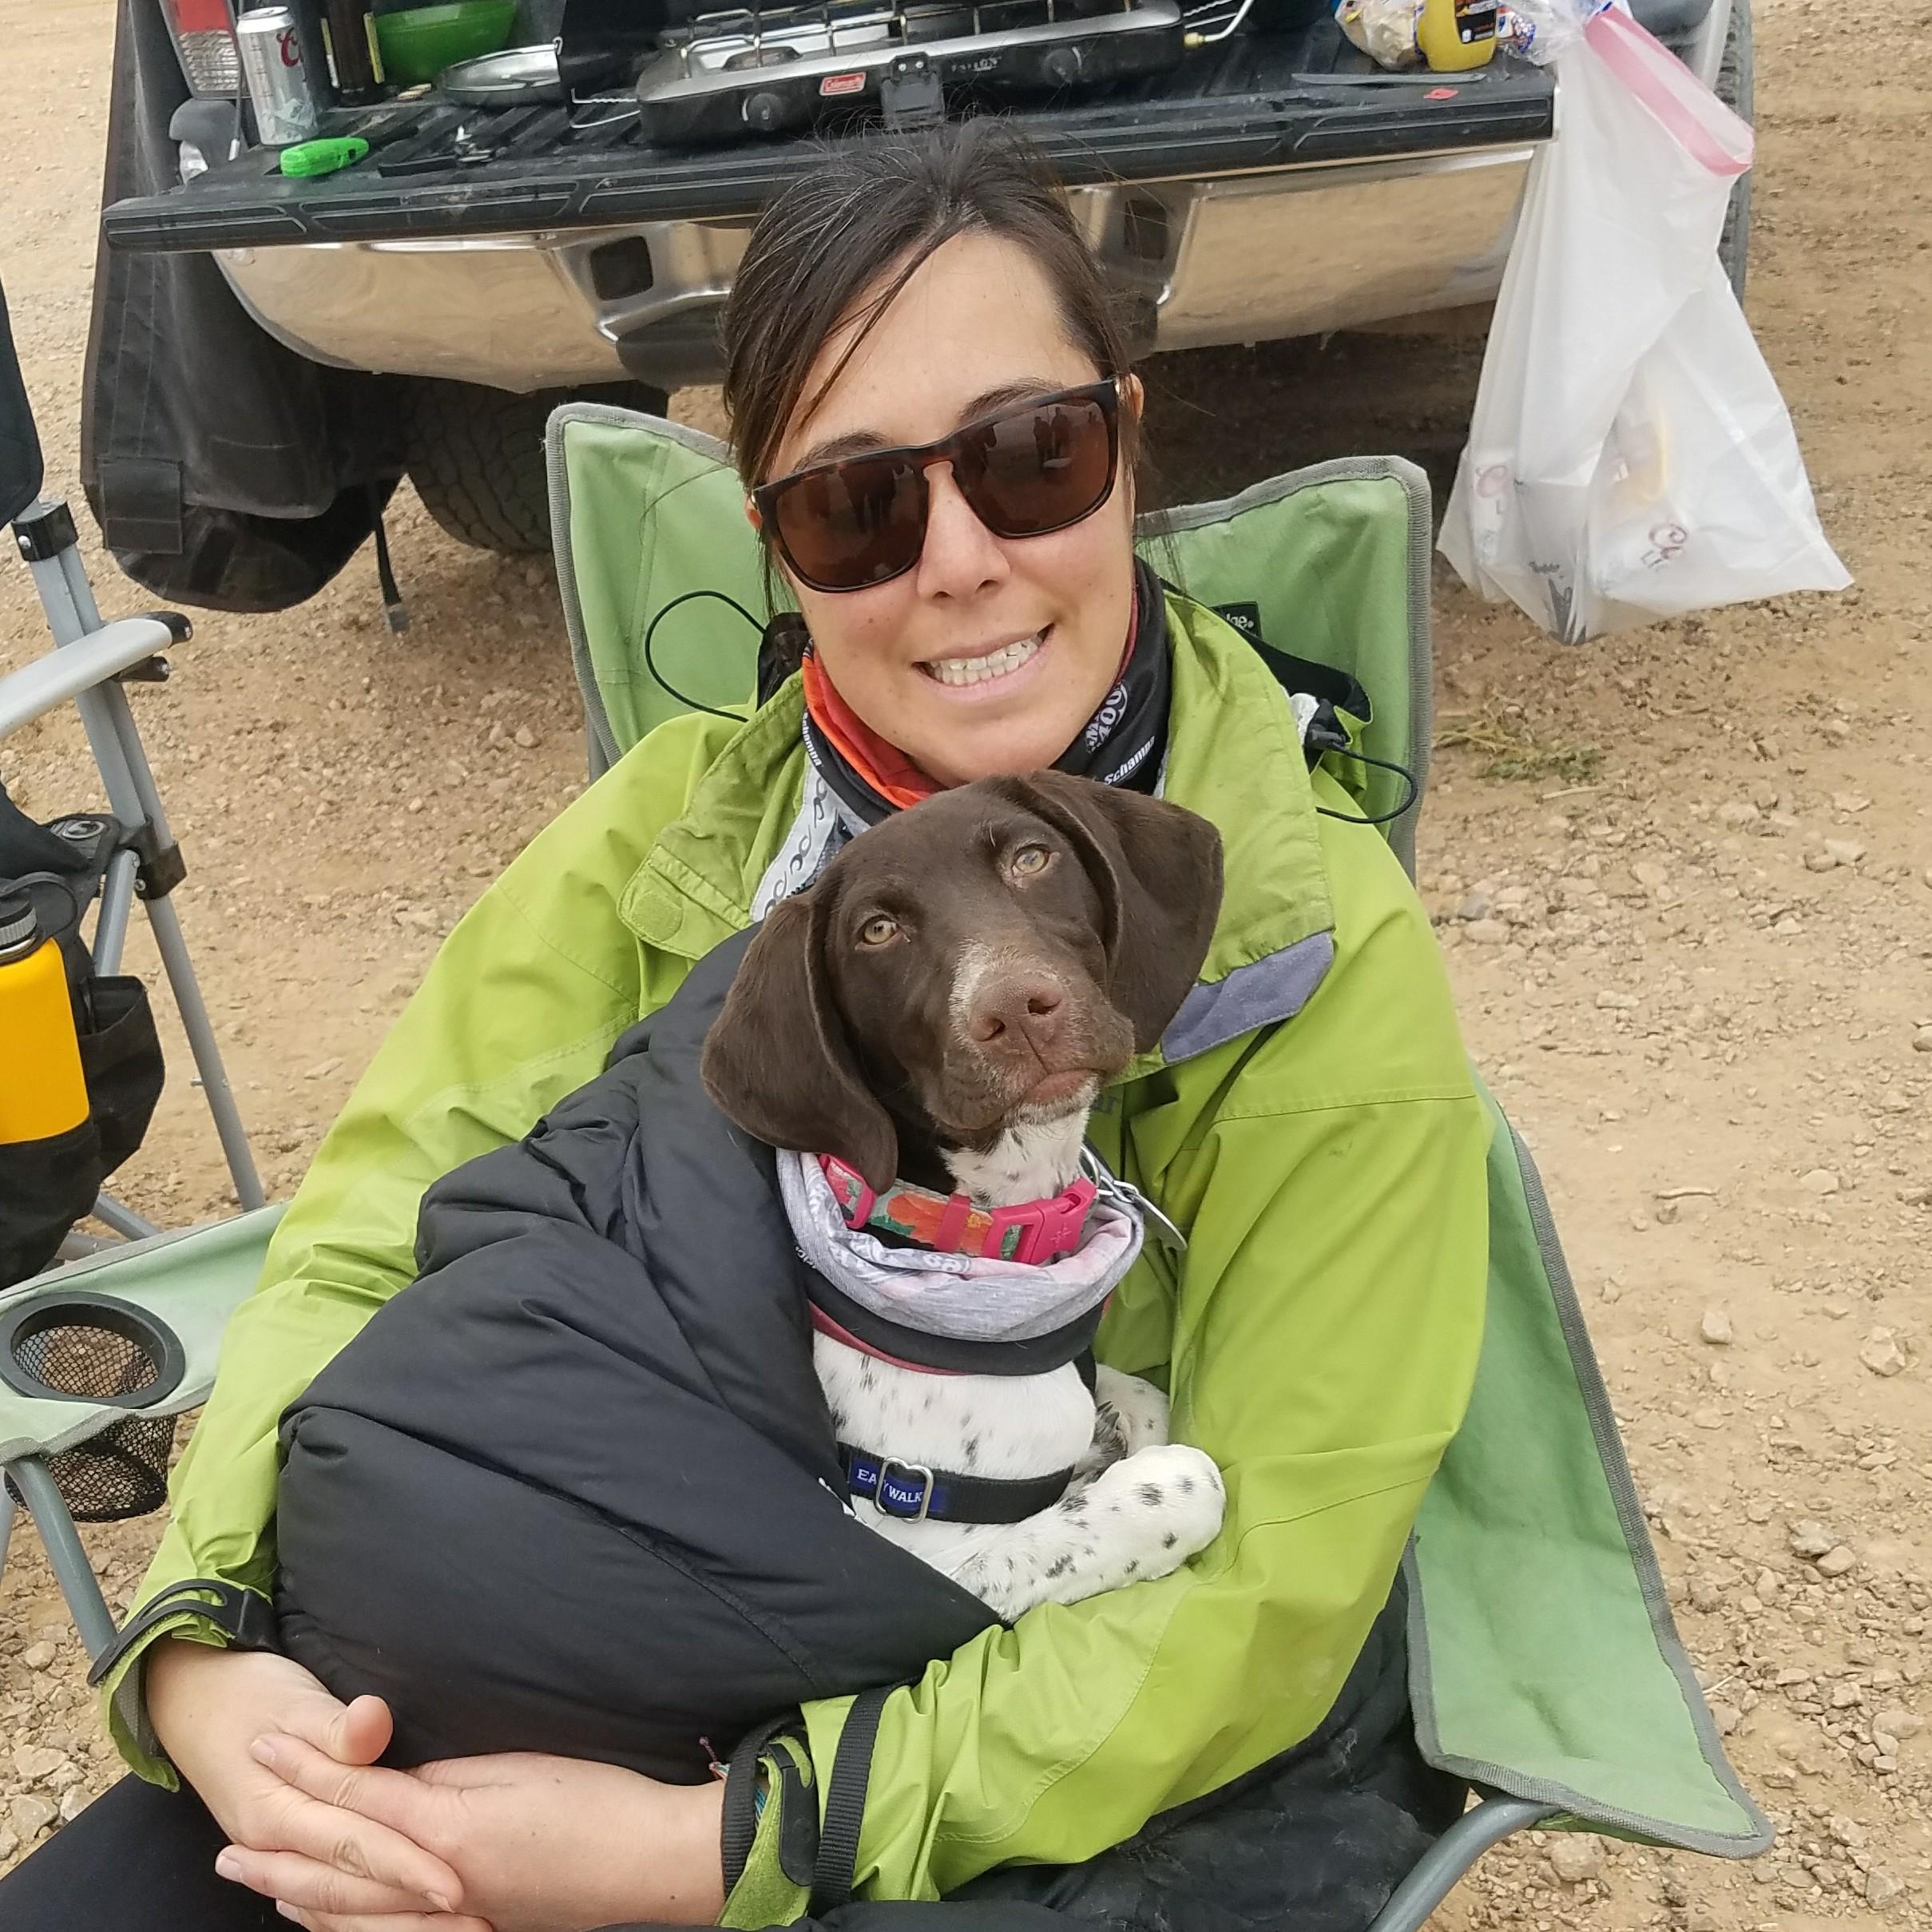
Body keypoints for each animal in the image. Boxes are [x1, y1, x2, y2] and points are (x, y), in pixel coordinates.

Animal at [702, 771, 1228, 1621]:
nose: (1014, 1008)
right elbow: (1177, 1485)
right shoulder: (931, 1565)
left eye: (1032, 858)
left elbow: (1143, 1400)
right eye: (876, 931)